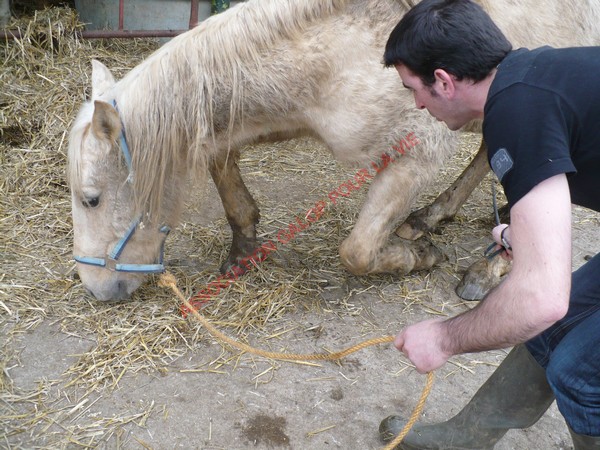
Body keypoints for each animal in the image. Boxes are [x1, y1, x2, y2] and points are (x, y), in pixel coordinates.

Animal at [68, 0, 600, 302]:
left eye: (92, 199)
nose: (96, 290)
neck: (345, 52)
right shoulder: (268, 116)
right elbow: (221, 162)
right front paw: (244, 245)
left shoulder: (418, 153)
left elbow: (357, 251)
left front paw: (418, 258)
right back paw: (433, 216)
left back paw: (481, 266)